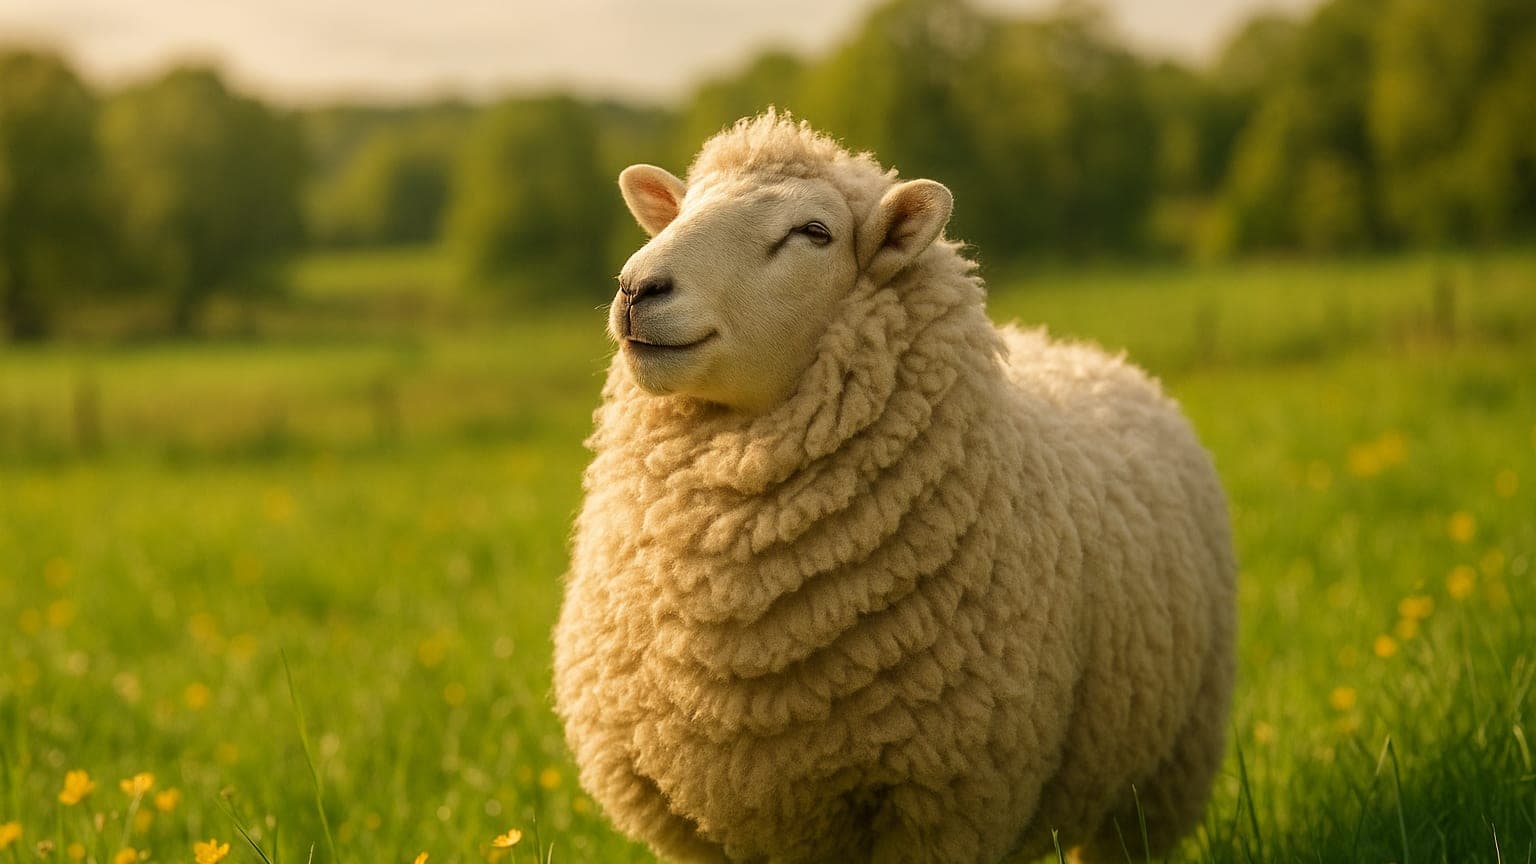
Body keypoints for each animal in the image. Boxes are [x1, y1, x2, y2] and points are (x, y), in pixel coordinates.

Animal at [553, 111, 1236, 864]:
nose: (637, 287)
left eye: (814, 232)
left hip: (1161, 775)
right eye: (682, 209)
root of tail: (1086, 351)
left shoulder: (943, 802)